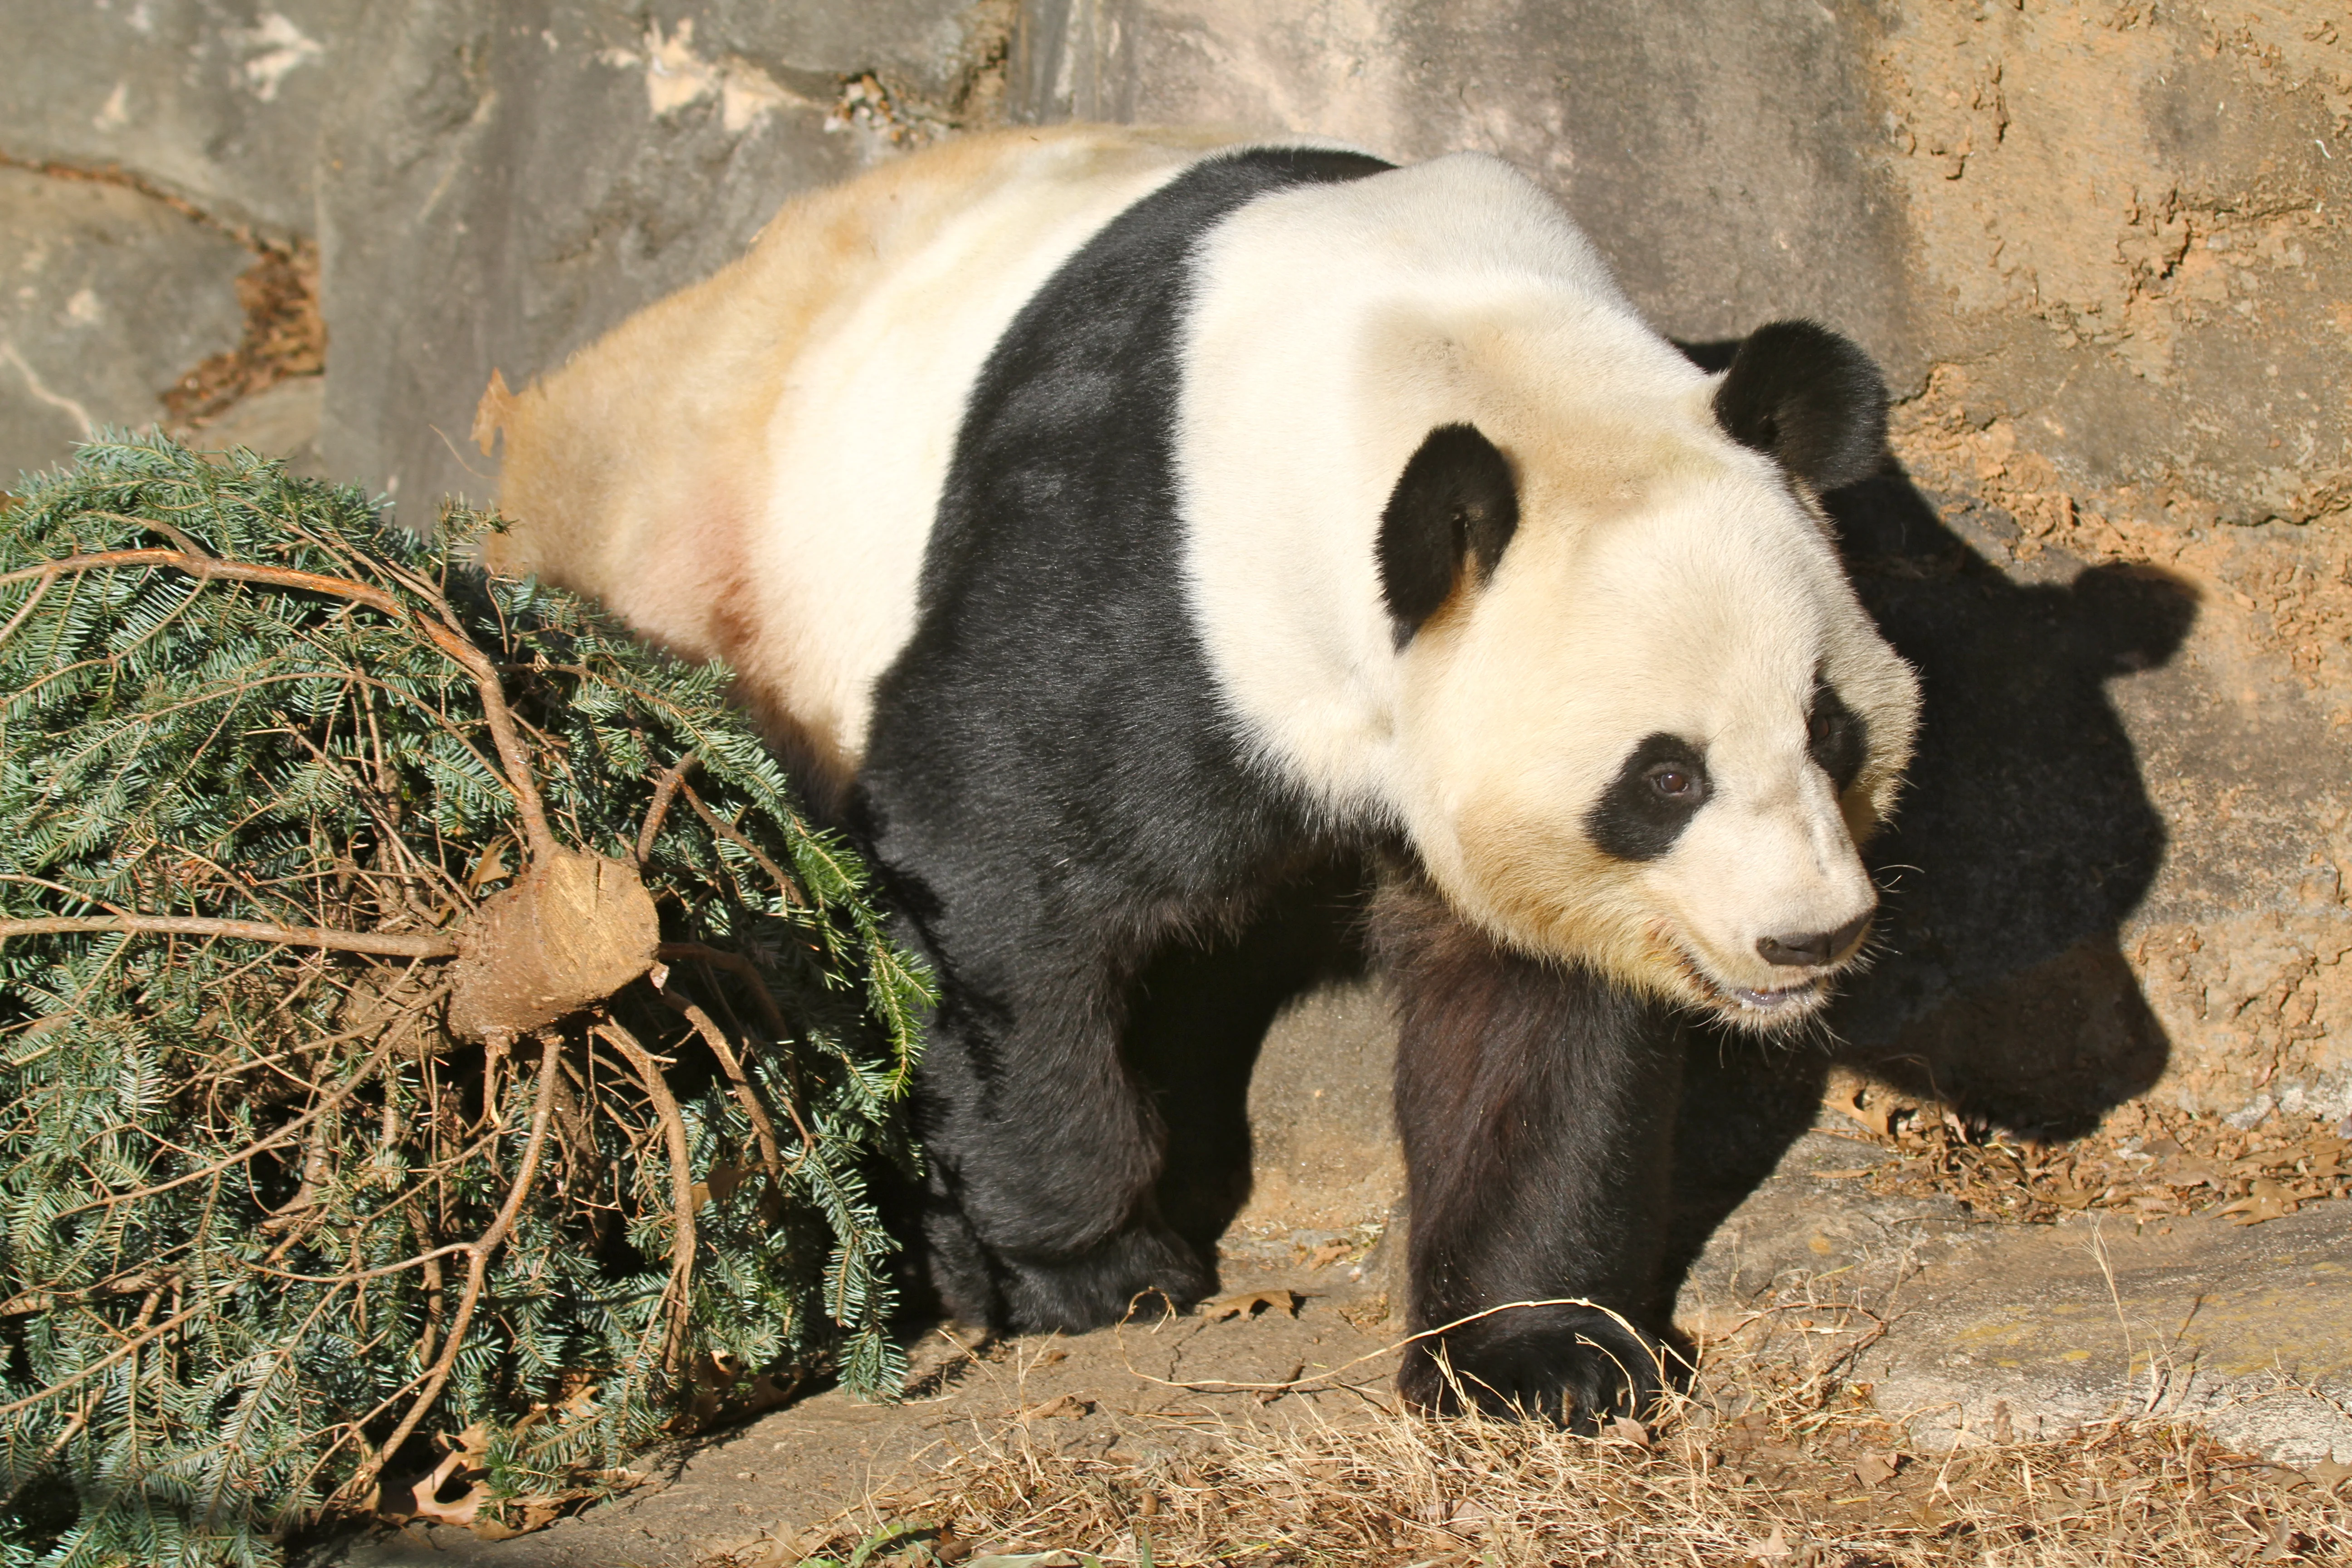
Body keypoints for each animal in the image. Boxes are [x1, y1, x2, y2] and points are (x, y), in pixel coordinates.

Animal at [474, 125, 1922, 1427]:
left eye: (1830, 731)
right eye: (1664, 779)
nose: (1807, 938)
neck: (1447, 353)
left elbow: (1536, 1020)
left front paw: (1537, 1357)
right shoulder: (1149, 575)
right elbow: (987, 865)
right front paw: (1083, 1271)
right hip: (686, 560)